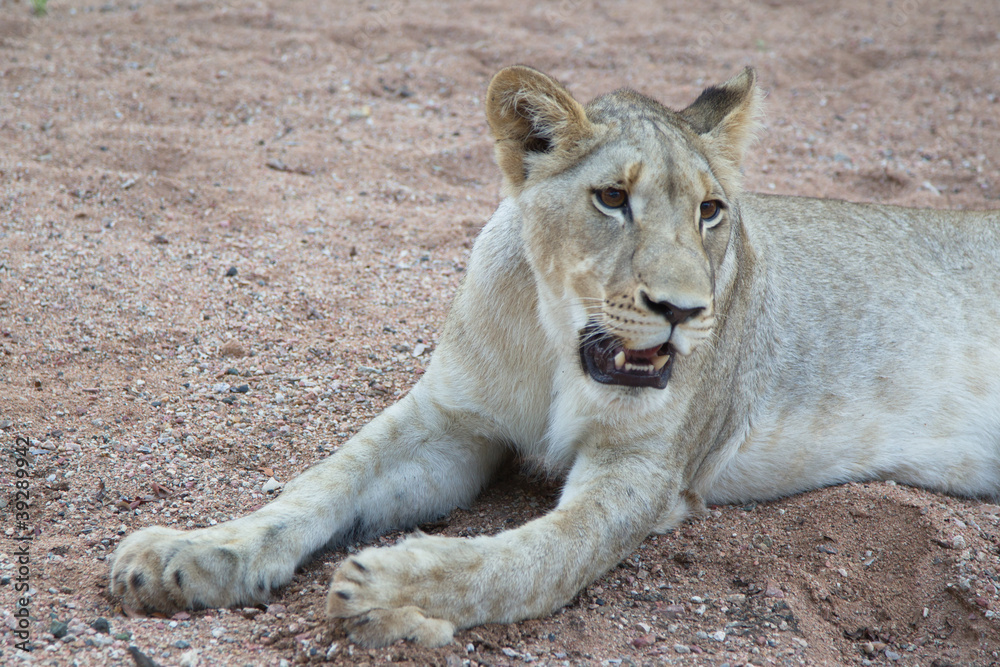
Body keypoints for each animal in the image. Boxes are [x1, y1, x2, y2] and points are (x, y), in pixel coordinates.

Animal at [110, 65, 1000, 647]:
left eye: (712, 211)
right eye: (612, 198)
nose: (683, 312)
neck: (555, 346)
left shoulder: (640, 476)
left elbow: (530, 558)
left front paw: (392, 588)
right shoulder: (449, 422)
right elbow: (322, 479)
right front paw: (186, 552)